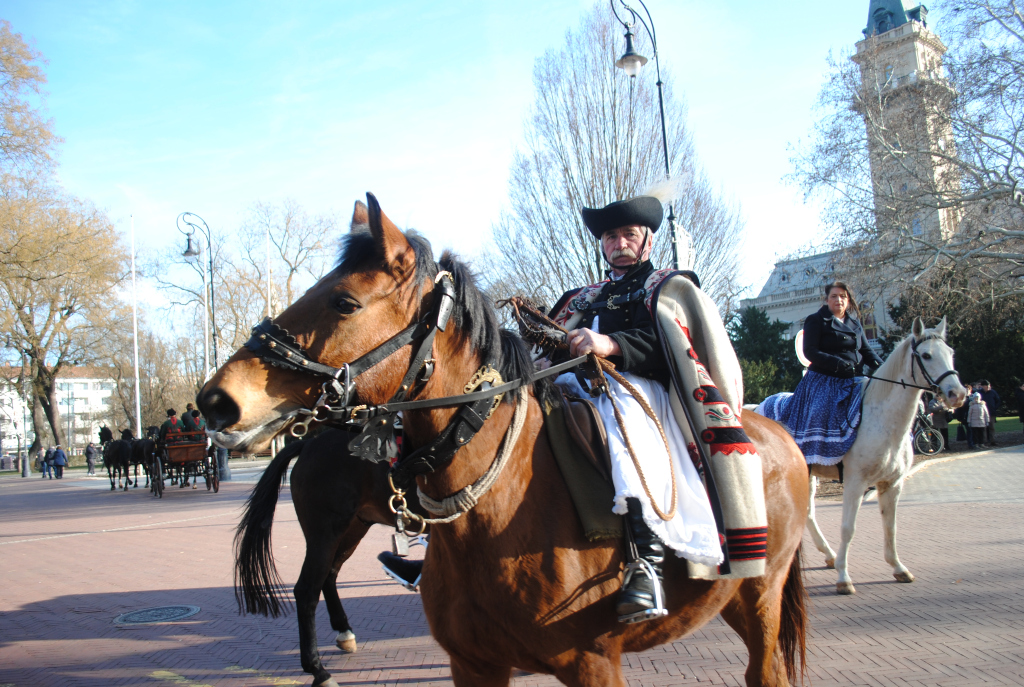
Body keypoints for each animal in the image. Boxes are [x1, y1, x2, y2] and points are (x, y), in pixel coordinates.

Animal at [197, 194, 806, 687]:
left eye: (343, 301)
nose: (216, 401)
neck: (500, 504)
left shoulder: (592, 664)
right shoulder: (474, 663)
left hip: (760, 595)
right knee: (316, 582)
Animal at [761, 319, 966, 593]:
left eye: (951, 353)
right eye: (926, 355)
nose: (958, 394)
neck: (881, 420)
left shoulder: (892, 483)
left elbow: (890, 527)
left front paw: (898, 568)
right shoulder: (855, 482)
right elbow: (848, 528)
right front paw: (843, 577)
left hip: (807, 475)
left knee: (807, 513)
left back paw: (828, 555)